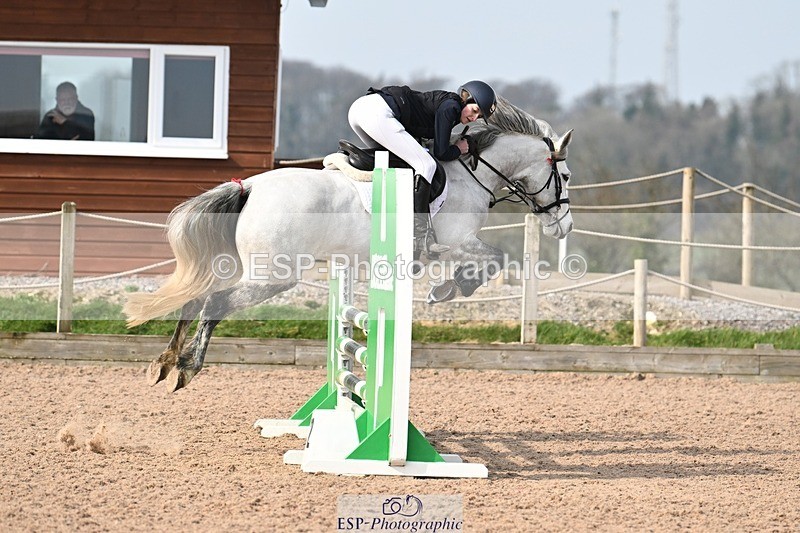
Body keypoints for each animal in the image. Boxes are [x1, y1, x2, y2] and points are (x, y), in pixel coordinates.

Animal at [123, 96, 575, 392]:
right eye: (566, 177)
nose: (564, 227)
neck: (473, 171)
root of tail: (249, 187)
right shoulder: (455, 242)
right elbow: (496, 258)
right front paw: (450, 288)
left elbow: (493, 260)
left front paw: (448, 287)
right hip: (275, 275)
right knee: (216, 302)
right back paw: (187, 367)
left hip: (242, 266)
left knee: (196, 298)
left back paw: (164, 363)